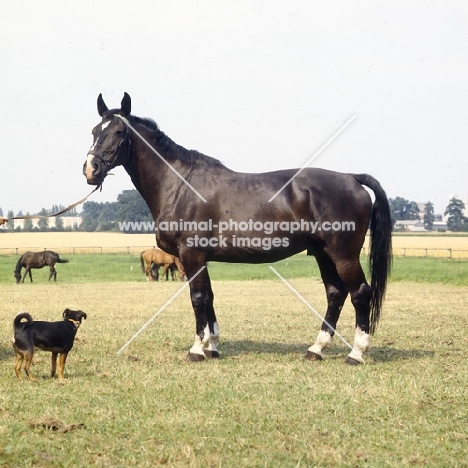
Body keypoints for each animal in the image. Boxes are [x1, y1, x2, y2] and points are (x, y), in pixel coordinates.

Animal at [83, 93, 392, 366]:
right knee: (335, 293)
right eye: (95, 130)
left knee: (360, 293)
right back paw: (316, 349)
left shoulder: (191, 254)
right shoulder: (200, 258)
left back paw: (356, 353)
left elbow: (198, 298)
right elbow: (209, 297)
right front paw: (213, 346)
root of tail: (352, 178)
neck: (180, 185)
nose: (91, 169)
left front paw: (197, 349)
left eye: (119, 131)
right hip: (322, 254)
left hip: (343, 255)